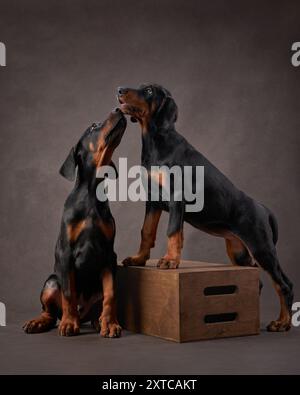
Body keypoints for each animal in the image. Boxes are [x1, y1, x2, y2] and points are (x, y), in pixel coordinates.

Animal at [23, 110, 126, 338]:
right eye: (93, 126)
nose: (118, 110)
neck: (91, 195)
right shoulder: (65, 252)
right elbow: (69, 292)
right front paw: (69, 324)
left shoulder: (109, 255)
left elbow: (111, 293)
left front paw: (110, 324)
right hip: (52, 281)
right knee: (52, 312)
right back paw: (41, 322)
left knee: (96, 306)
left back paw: (99, 321)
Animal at [117, 84, 292, 334]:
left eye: (149, 91)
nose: (120, 90)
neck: (156, 141)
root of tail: (264, 209)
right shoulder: (152, 200)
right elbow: (147, 231)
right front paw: (139, 258)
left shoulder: (176, 197)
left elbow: (173, 231)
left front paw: (170, 261)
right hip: (239, 251)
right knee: (256, 281)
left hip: (262, 247)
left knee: (283, 284)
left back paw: (282, 322)